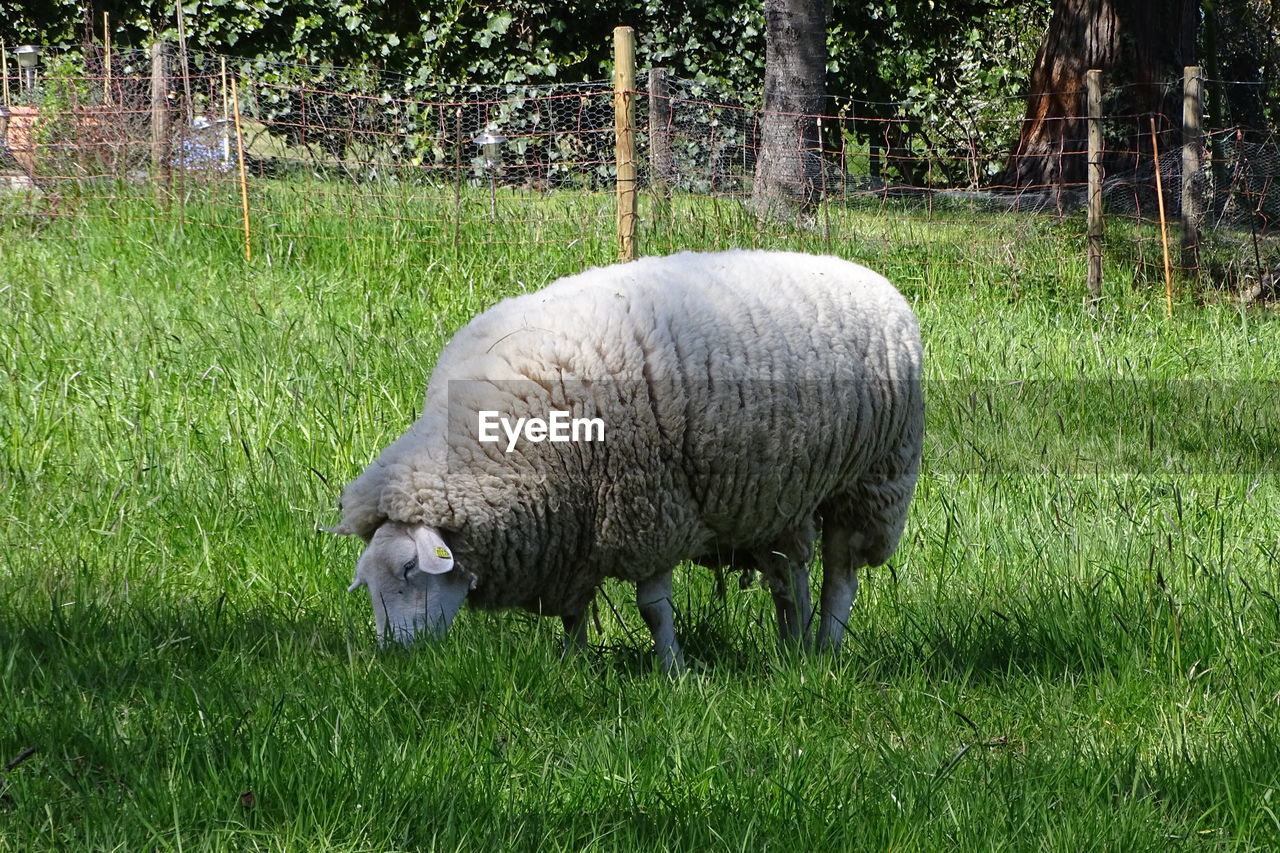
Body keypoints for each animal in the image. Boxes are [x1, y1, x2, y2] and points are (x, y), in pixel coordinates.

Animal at [332, 249, 921, 666]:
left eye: (411, 569)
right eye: (366, 584)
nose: (393, 658)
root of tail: (870, 277)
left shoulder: (651, 510)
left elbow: (653, 609)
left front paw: (673, 671)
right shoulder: (572, 527)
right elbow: (576, 610)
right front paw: (570, 665)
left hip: (871, 480)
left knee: (840, 575)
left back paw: (827, 650)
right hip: (780, 494)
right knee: (789, 576)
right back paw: (793, 650)